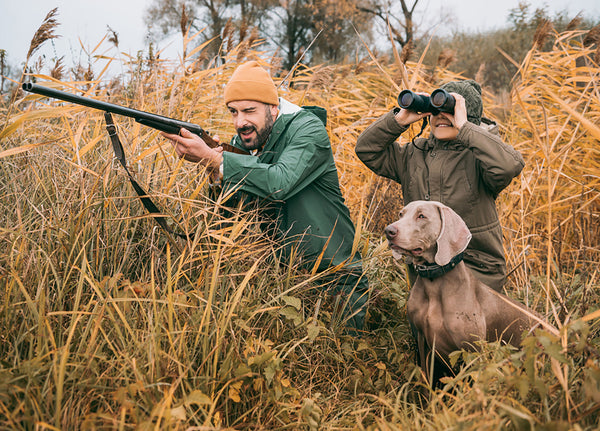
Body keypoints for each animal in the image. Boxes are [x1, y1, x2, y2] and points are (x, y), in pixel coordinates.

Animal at [384, 201, 556, 386]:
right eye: (401, 214)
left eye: (421, 216)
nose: (388, 231)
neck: (433, 281)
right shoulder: (423, 342)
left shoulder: (473, 350)